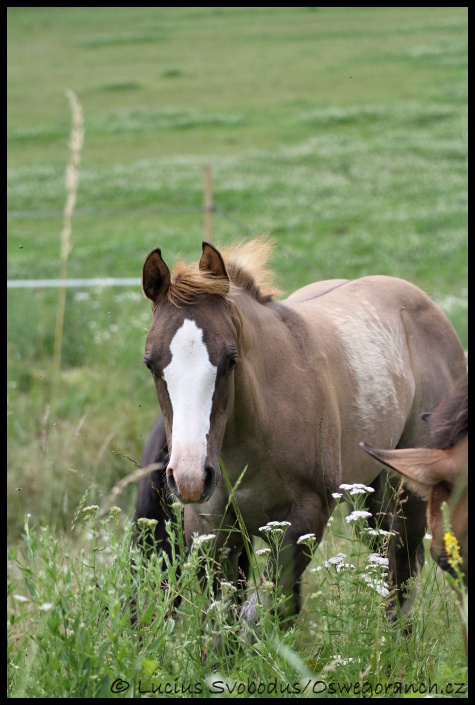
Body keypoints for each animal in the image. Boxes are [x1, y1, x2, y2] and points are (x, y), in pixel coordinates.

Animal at [136, 239, 466, 628]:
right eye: (150, 363)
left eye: (231, 359)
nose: (190, 478)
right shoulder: (212, 528)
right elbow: (225, 624)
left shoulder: (304, 520)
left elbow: (259, 615)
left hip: (405, 496)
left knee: (400, 576)